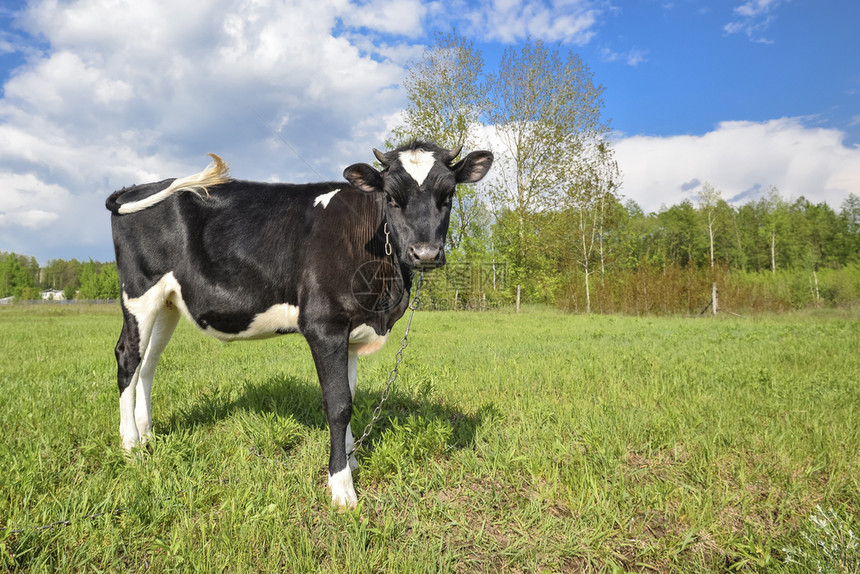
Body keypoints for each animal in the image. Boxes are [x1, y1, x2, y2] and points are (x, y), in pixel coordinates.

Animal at [107, 143, 494, 508]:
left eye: (449, 195)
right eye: (391, 197)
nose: (425, 253)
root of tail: (138, 186)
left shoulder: (352, 332)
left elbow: (350, 395)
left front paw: (351, 460)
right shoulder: (325, 326)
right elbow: (338, 405)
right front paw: (341, 485)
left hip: (168, 302)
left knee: (148, 363)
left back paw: (148, 435)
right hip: (139, 291)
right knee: (128, 357)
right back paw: (130, 445)